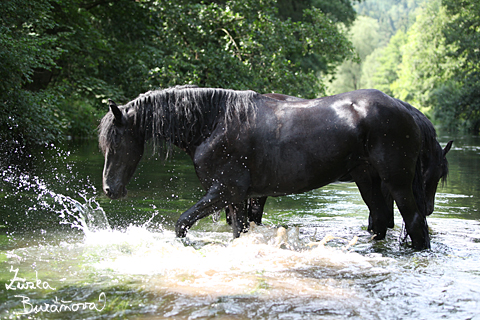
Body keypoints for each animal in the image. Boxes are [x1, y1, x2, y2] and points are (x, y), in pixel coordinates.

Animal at [99, 87, 452, 250]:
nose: (109, 189)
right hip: (368, 181)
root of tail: (405, 109)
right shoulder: (237, 198)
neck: (215, 123)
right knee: (380, 221)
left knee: (415, 224)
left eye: (116, 143)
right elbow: (240, 232)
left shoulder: (223, 191)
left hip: (397, 184)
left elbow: (181, 224)